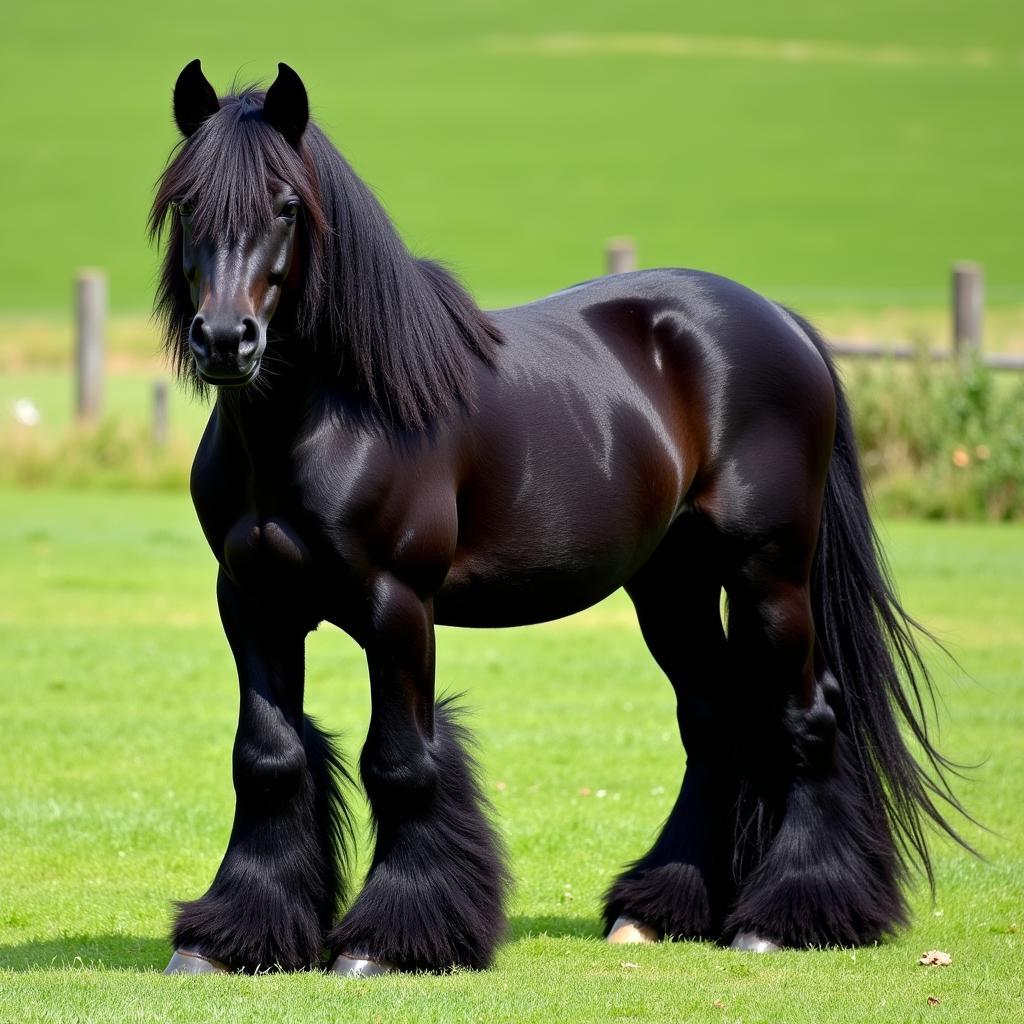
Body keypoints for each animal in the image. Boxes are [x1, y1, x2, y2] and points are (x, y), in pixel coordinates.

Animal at [151, 58, 966, 974]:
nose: (227, 340)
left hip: (769, 573)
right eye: (186, 203)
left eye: (288, 205)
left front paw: (390, 941)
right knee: (716, 716)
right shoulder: (252, 602)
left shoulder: (398, 606)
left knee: (806, 716)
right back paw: (657, 909)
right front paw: (230, 937)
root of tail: (782, 321)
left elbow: (400, 763)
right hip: (672, 587)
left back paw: (785, 916)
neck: (333, 415)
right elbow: (268, 757)